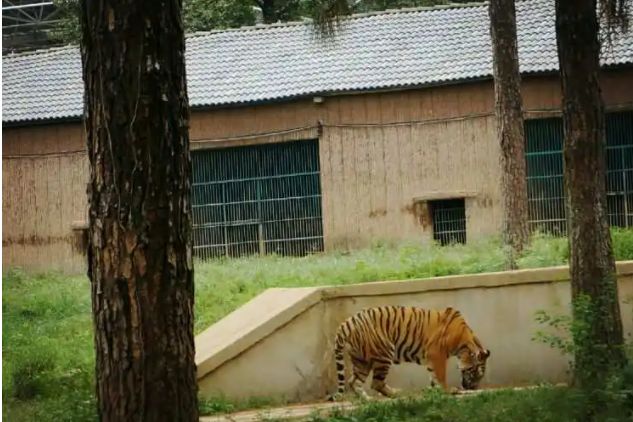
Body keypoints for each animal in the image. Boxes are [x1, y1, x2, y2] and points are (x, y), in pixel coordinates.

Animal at [328, 304, 492, 400]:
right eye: (475, 372)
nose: (472, 388)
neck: (463, 343)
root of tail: (346, 323)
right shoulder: (436, 355)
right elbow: (440, 375)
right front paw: (449, 390)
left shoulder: (431, 359)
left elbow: (433, 377)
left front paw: (434, 391)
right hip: (384, 353)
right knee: (376, 383)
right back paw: (396, 394)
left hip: (361, 360)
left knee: (353, 381)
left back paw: (368, 400)